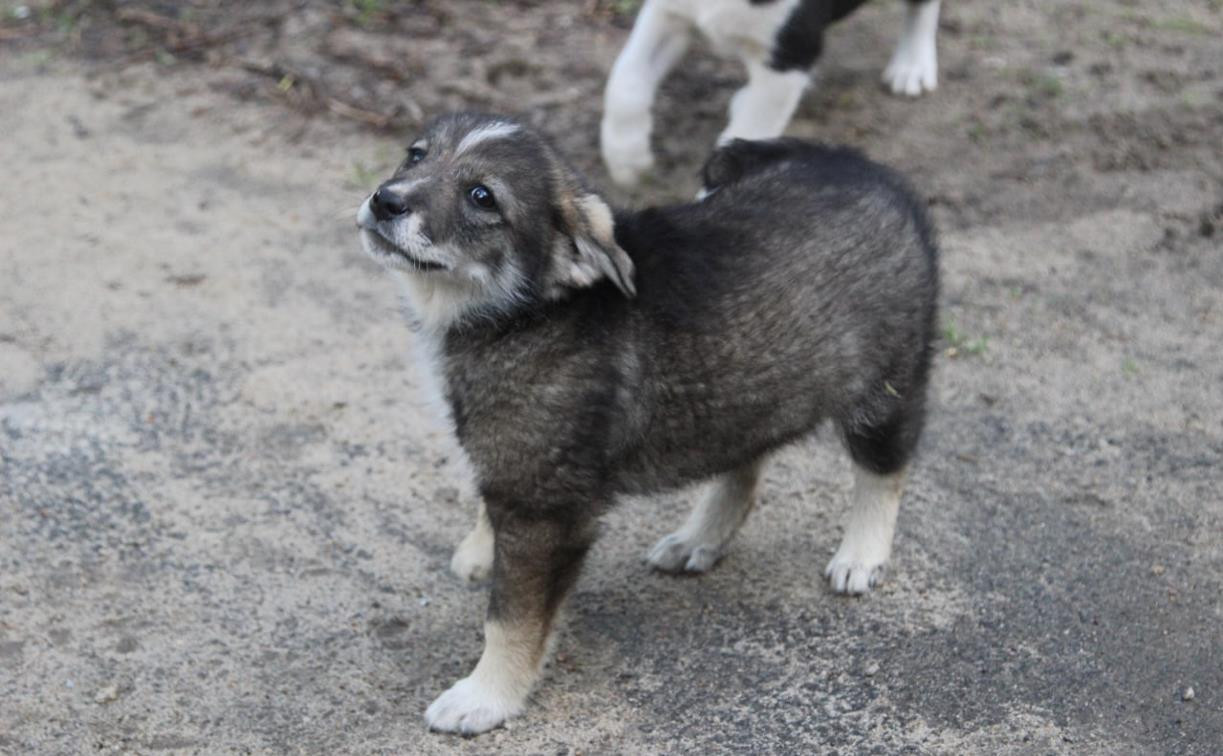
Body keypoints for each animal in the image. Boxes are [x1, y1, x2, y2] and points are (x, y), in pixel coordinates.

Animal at [357, 110, 939, 729]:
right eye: (416, 155)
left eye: (482, 196)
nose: (385, 201)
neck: (523, 312)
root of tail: (862, 164)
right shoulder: (522, 466)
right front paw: (480, 550)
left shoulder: (544, 508)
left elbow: (512, 619)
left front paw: (485, 697)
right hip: (747, 379)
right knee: (744, 459)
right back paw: (699, 537)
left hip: (886, 385)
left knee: (883, 470)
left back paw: (861, 554)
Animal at [604, 0, 944, 185]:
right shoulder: (668, 14)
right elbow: (625, 81)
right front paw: (626, 158)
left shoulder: (789, 55)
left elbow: (748, 133)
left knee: (924, 7)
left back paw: (912, 64)